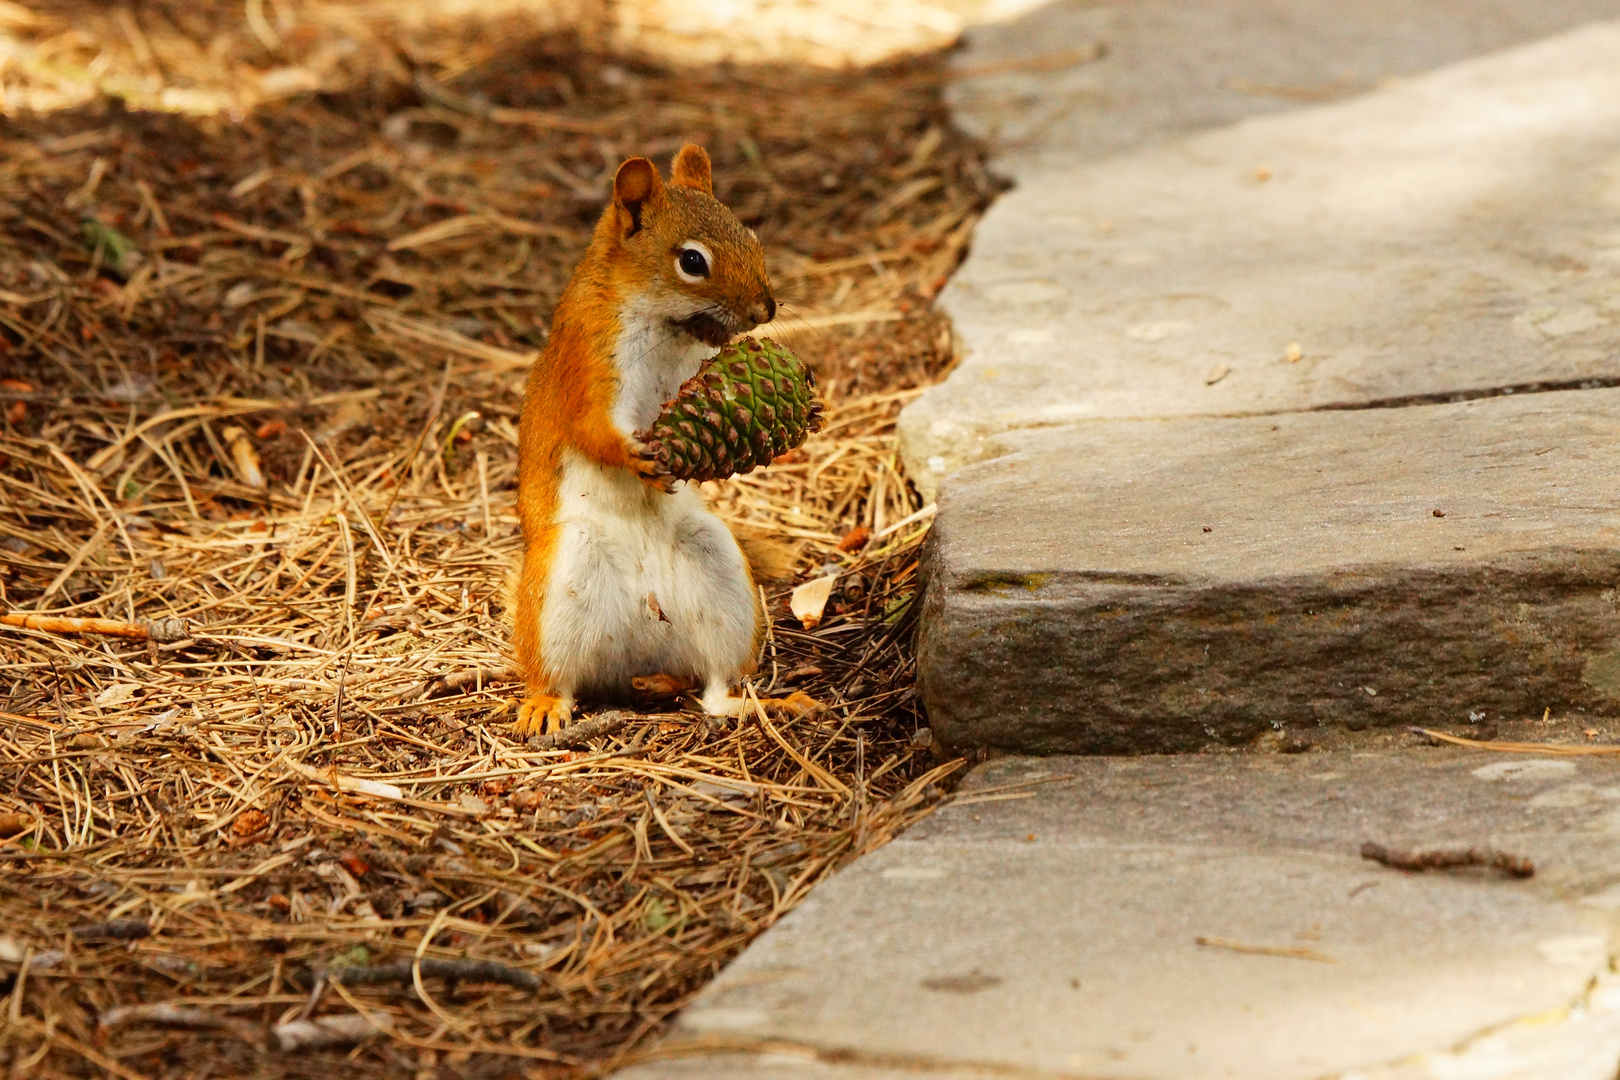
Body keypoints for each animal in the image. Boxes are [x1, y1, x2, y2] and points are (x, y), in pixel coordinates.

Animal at [508, 145, 810, 735]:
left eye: (751, 237)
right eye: (691, 261)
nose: (765, 309)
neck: (667, 326)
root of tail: (639, 651)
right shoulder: (588, 360)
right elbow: (592, 428)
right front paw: (634, 457)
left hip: (720, 576)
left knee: (714, 687)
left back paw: (761, 704)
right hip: (563, 578)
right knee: (555, 675)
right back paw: (545, 704)